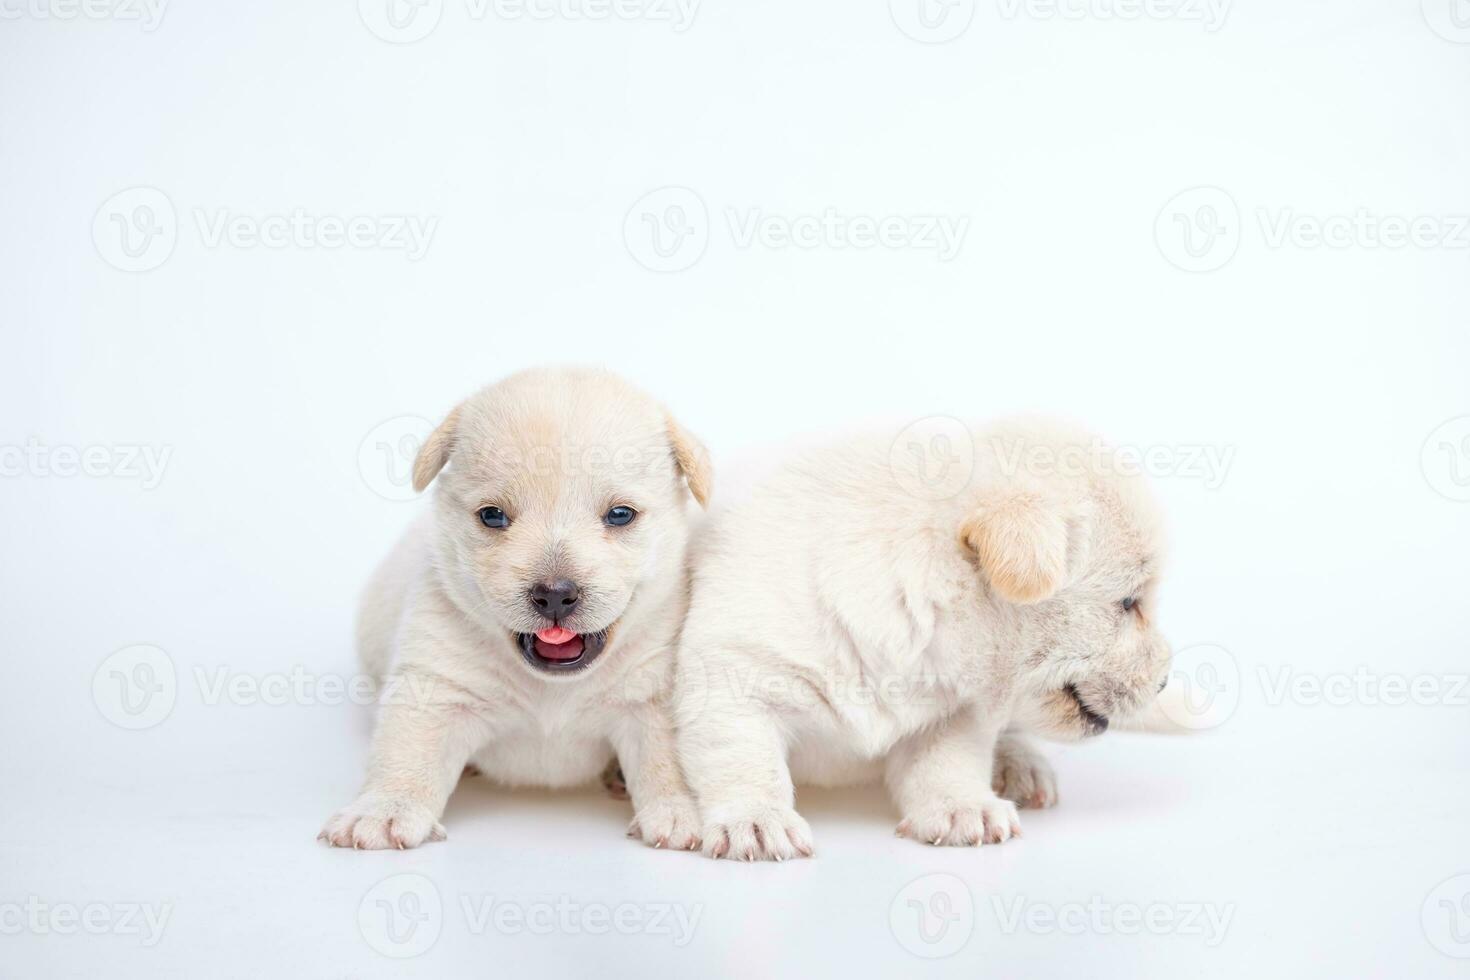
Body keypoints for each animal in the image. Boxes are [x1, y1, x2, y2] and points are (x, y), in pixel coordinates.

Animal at [321, 367, 711, 852]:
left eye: (620, 514)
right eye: (492, 516)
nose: (555, 594)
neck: (553, 688)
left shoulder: (652, 696)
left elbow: (667, 760)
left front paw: (683, 812)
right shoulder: (434, 684)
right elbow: (407, 750)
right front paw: (382, 811)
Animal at [673, 417, 1170, 863]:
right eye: (1129, 602)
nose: (1166, 682)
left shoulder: (953, 711)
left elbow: (947, 761)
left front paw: (962, 807)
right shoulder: (733, 678)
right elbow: (745, 758)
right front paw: (757, 820)